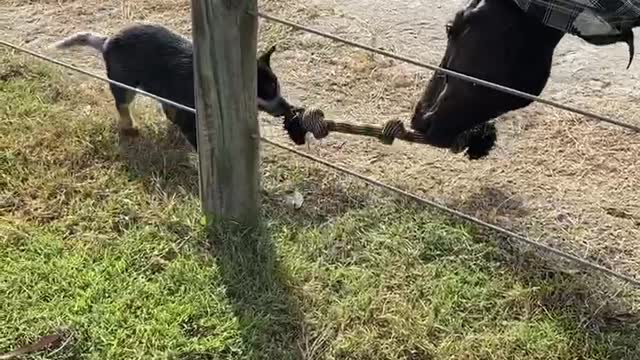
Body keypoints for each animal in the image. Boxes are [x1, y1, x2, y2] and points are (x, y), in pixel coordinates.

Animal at [52, 22, 292, 149]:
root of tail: (106, 41)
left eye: (277, 85)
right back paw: (131, 128)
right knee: (122, 105)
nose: (288, 108)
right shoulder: (191, 114)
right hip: (123, 82)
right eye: (266, 91)